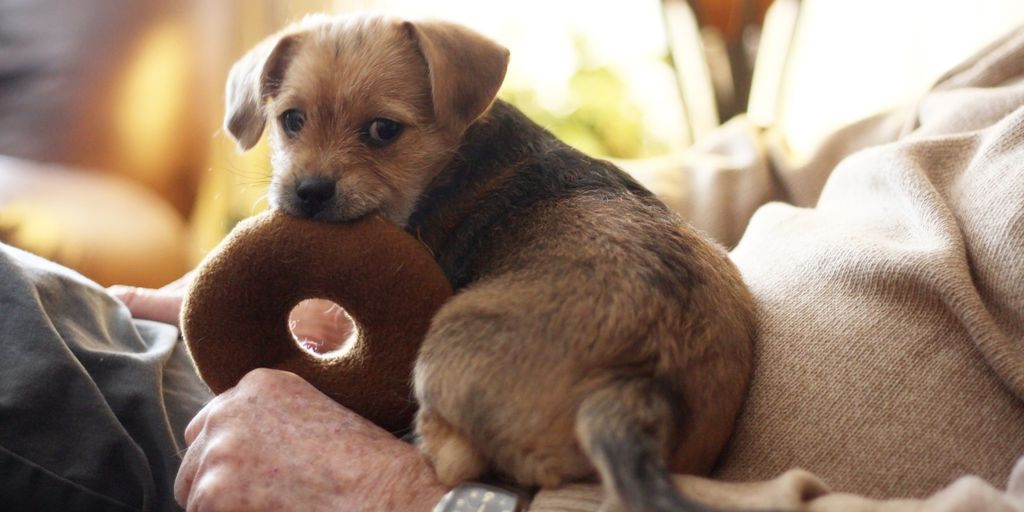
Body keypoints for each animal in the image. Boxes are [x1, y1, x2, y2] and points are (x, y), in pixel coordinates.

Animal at [226, 12, 753, 512]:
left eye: (383, 130)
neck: (451, 162)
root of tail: (635, 387)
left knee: (454, 459)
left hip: (440, 353)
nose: (309, 192)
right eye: (291, 120)